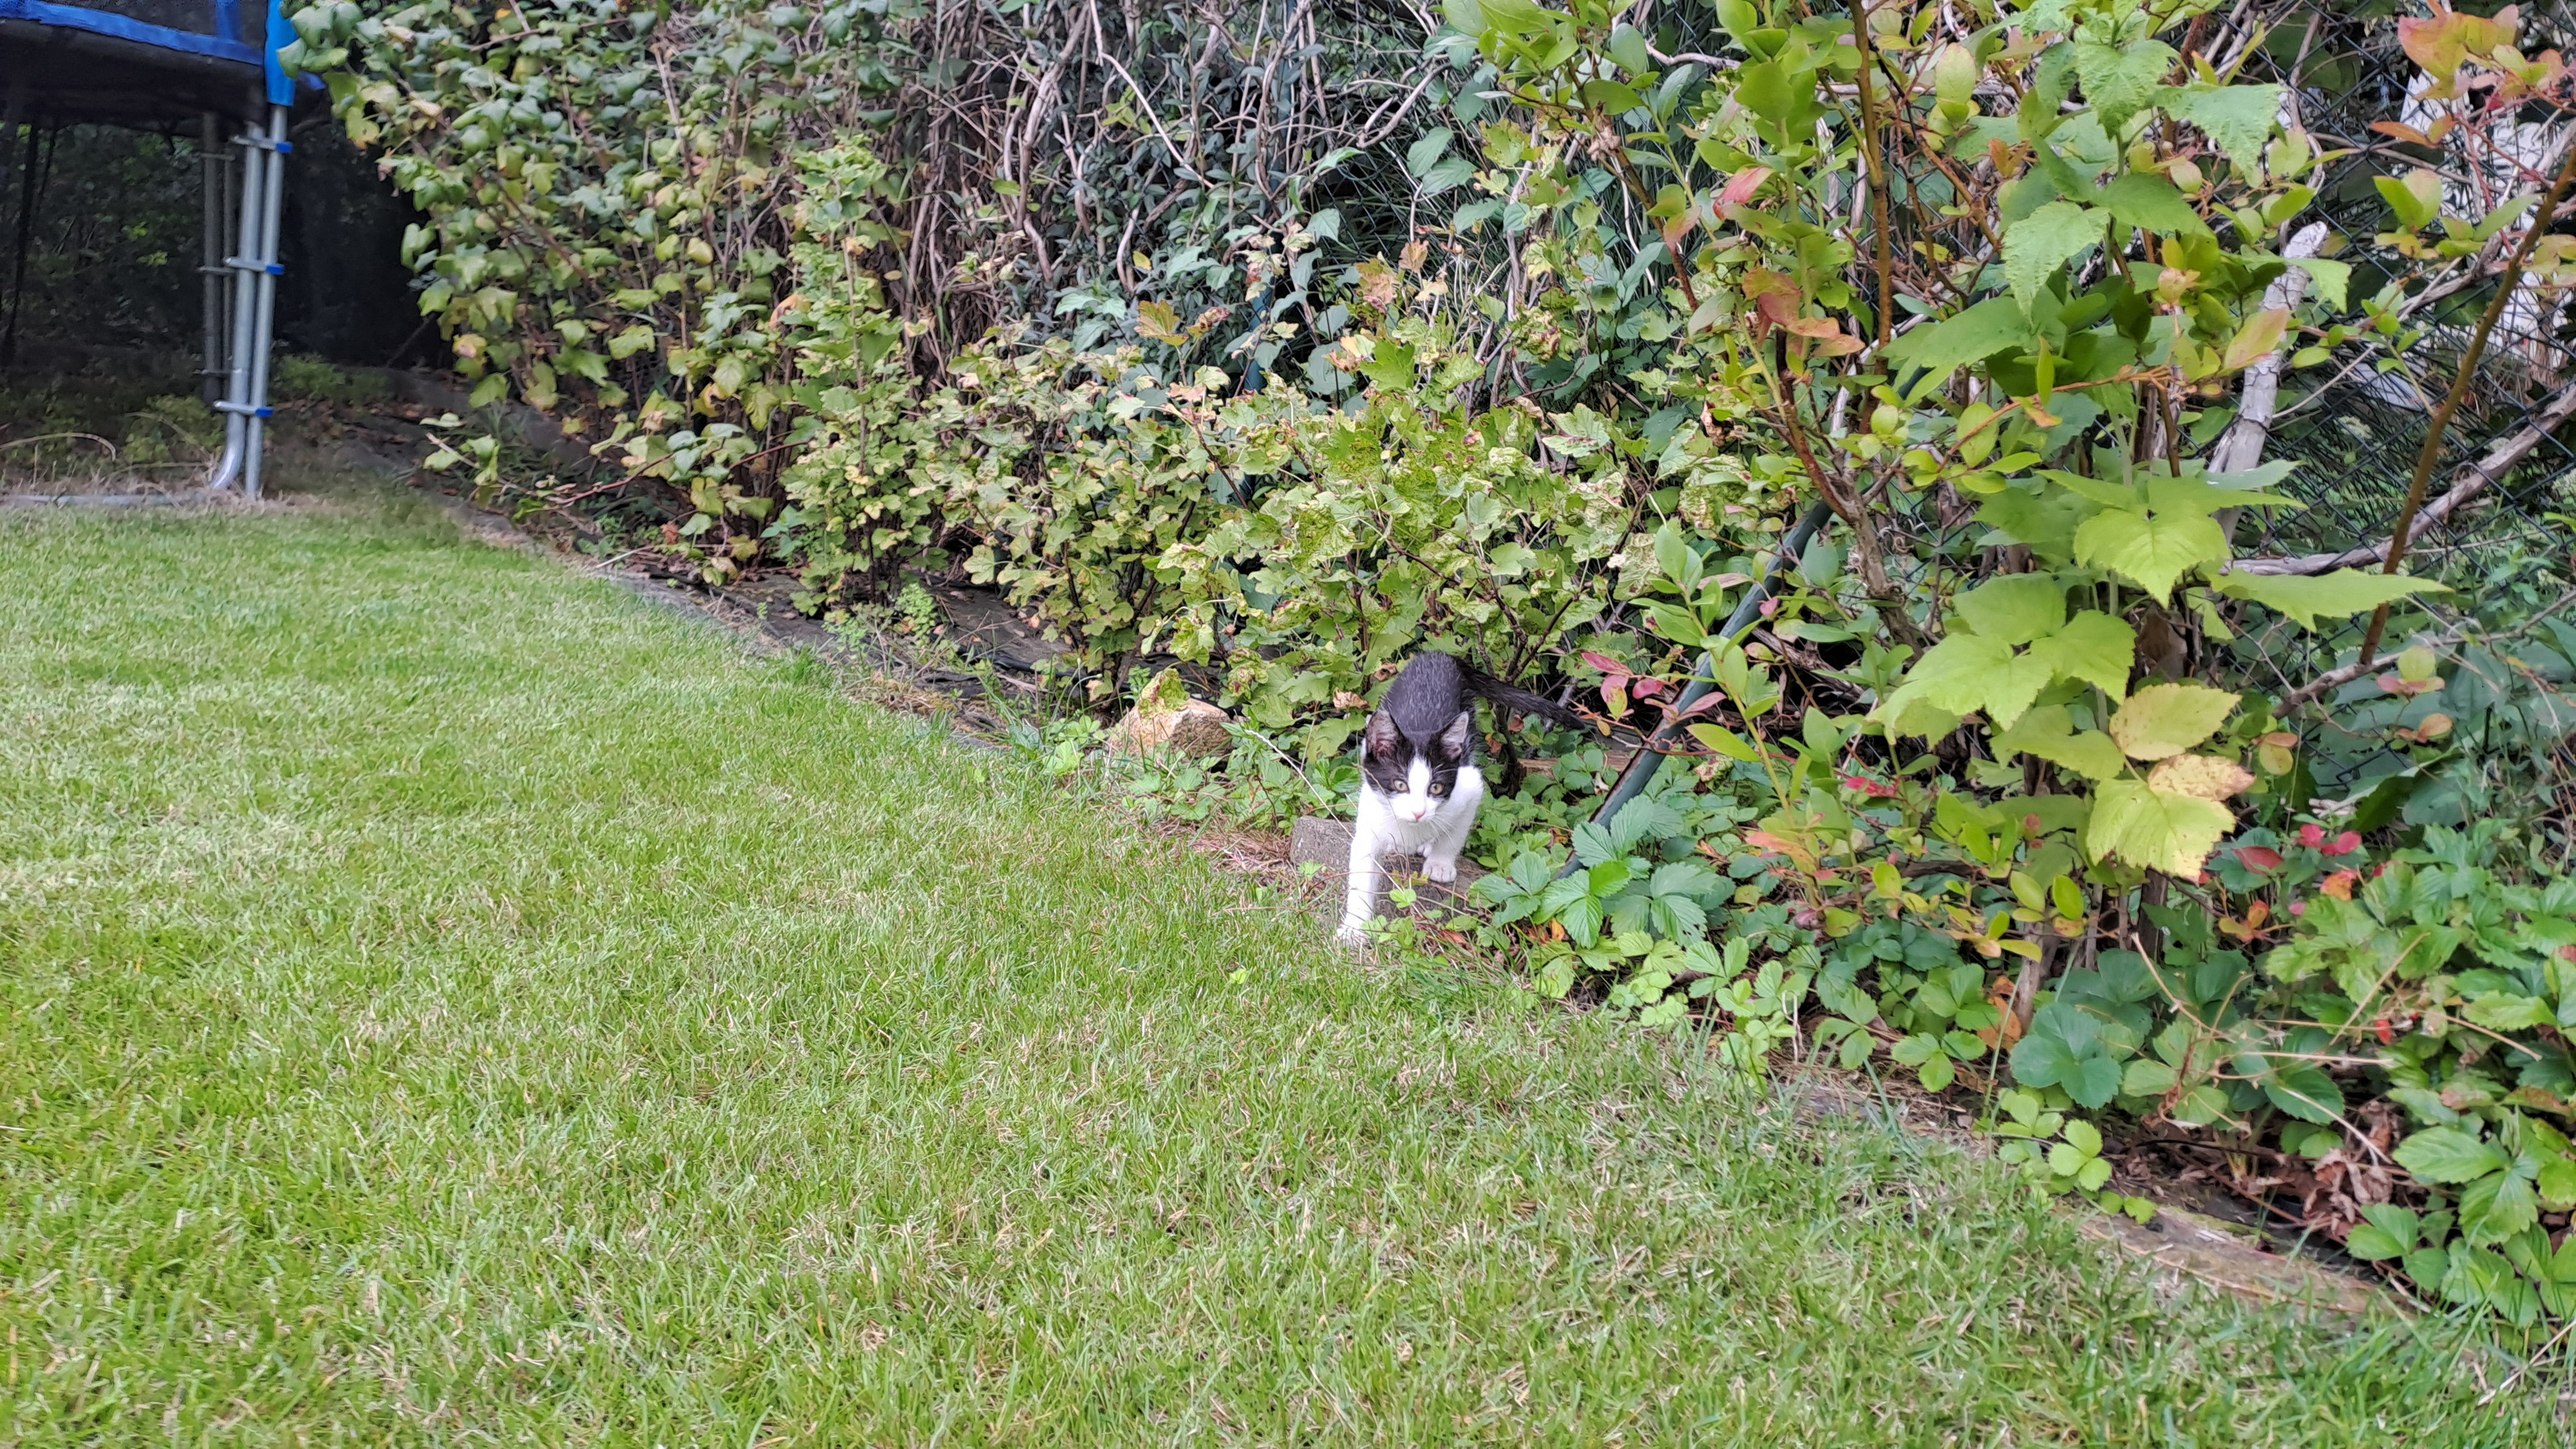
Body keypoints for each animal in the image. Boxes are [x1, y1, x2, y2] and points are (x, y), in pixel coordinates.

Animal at [1336, 652, 1581, 946]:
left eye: (1436, 788)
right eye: (1400, 784)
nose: (1419, 813)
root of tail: (1438, 655)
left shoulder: (1469, 786)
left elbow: (1455, 833)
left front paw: (1440, 864)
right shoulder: (1370, 817)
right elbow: (1361, 874)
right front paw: (1354, 927)